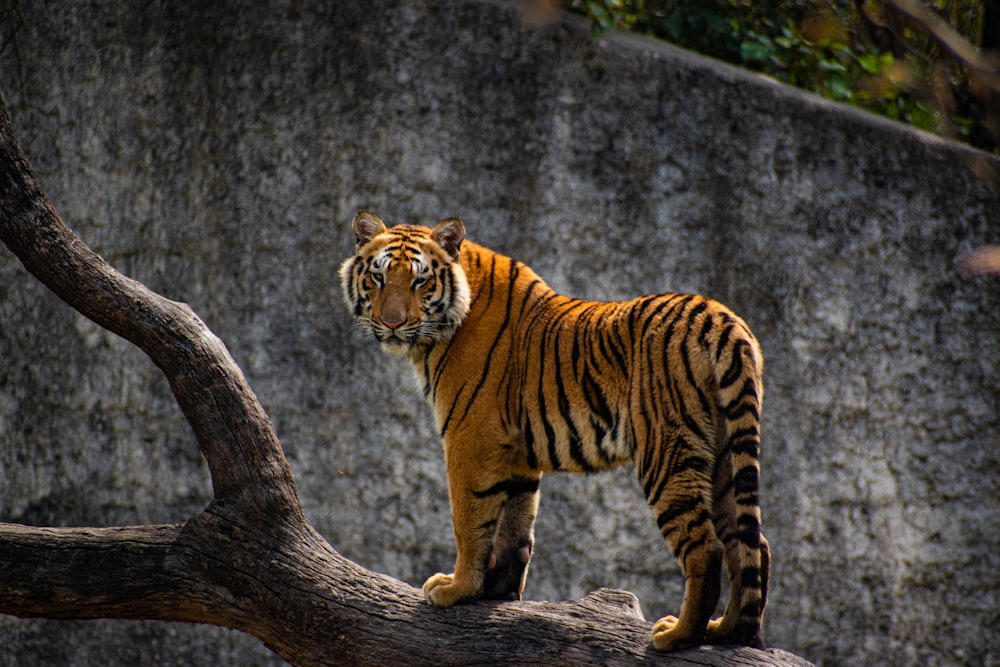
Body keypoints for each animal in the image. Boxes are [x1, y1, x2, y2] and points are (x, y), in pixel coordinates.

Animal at [340, 213, 768, 652]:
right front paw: (497, 591)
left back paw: (677, 635)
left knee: (707, 547)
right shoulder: (515, 452)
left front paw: (457, 589)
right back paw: (724, 631)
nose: (392, 323)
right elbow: (514, 525)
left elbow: (469, 519)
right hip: (723, 456)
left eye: (420, 281)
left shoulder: (469, 437)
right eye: (378, 278)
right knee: (749, 544)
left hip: (666, 452)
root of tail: (721, 318)